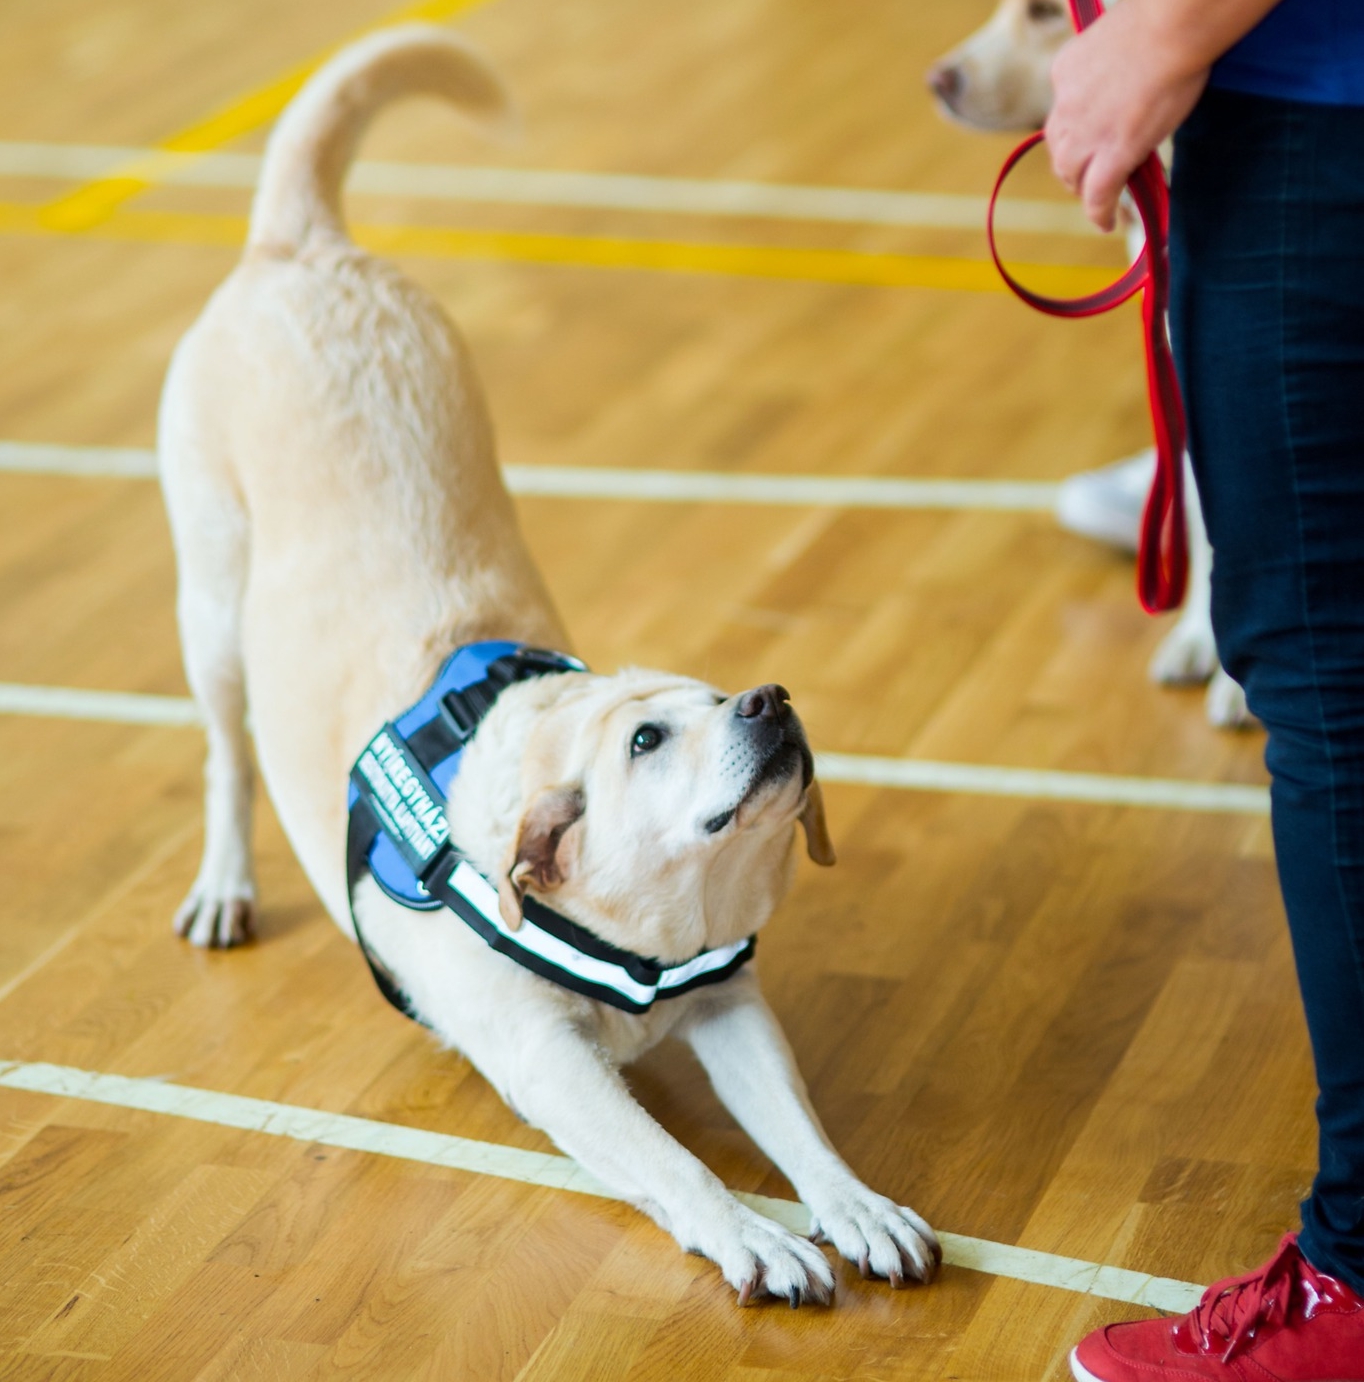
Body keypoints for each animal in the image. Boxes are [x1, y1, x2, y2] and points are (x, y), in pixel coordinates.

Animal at [160, 29, 939, 1304]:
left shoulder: (734, 1005)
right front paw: (757, 1232)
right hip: (213, 606)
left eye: (716, 692)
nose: (769, 697)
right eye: (645, 740)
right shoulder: (546, 1062)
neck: (647, 942)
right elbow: (675, 1162)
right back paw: (223, 880)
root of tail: (303, 247)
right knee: (226, 758)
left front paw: (853, 1204)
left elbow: (801, 1128)